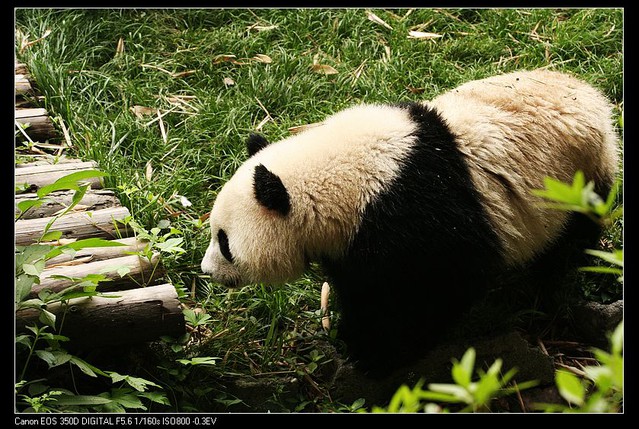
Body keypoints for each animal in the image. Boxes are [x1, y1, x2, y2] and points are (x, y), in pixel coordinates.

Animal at [201, 69, 620, 374]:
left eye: (225, 242)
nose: (207, 271)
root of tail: (596, 102)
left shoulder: (416, 220)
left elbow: (436, 289)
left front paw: (376, 353)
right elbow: (359, 284)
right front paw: (351, 331)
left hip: (577, 182)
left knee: (571, 238)